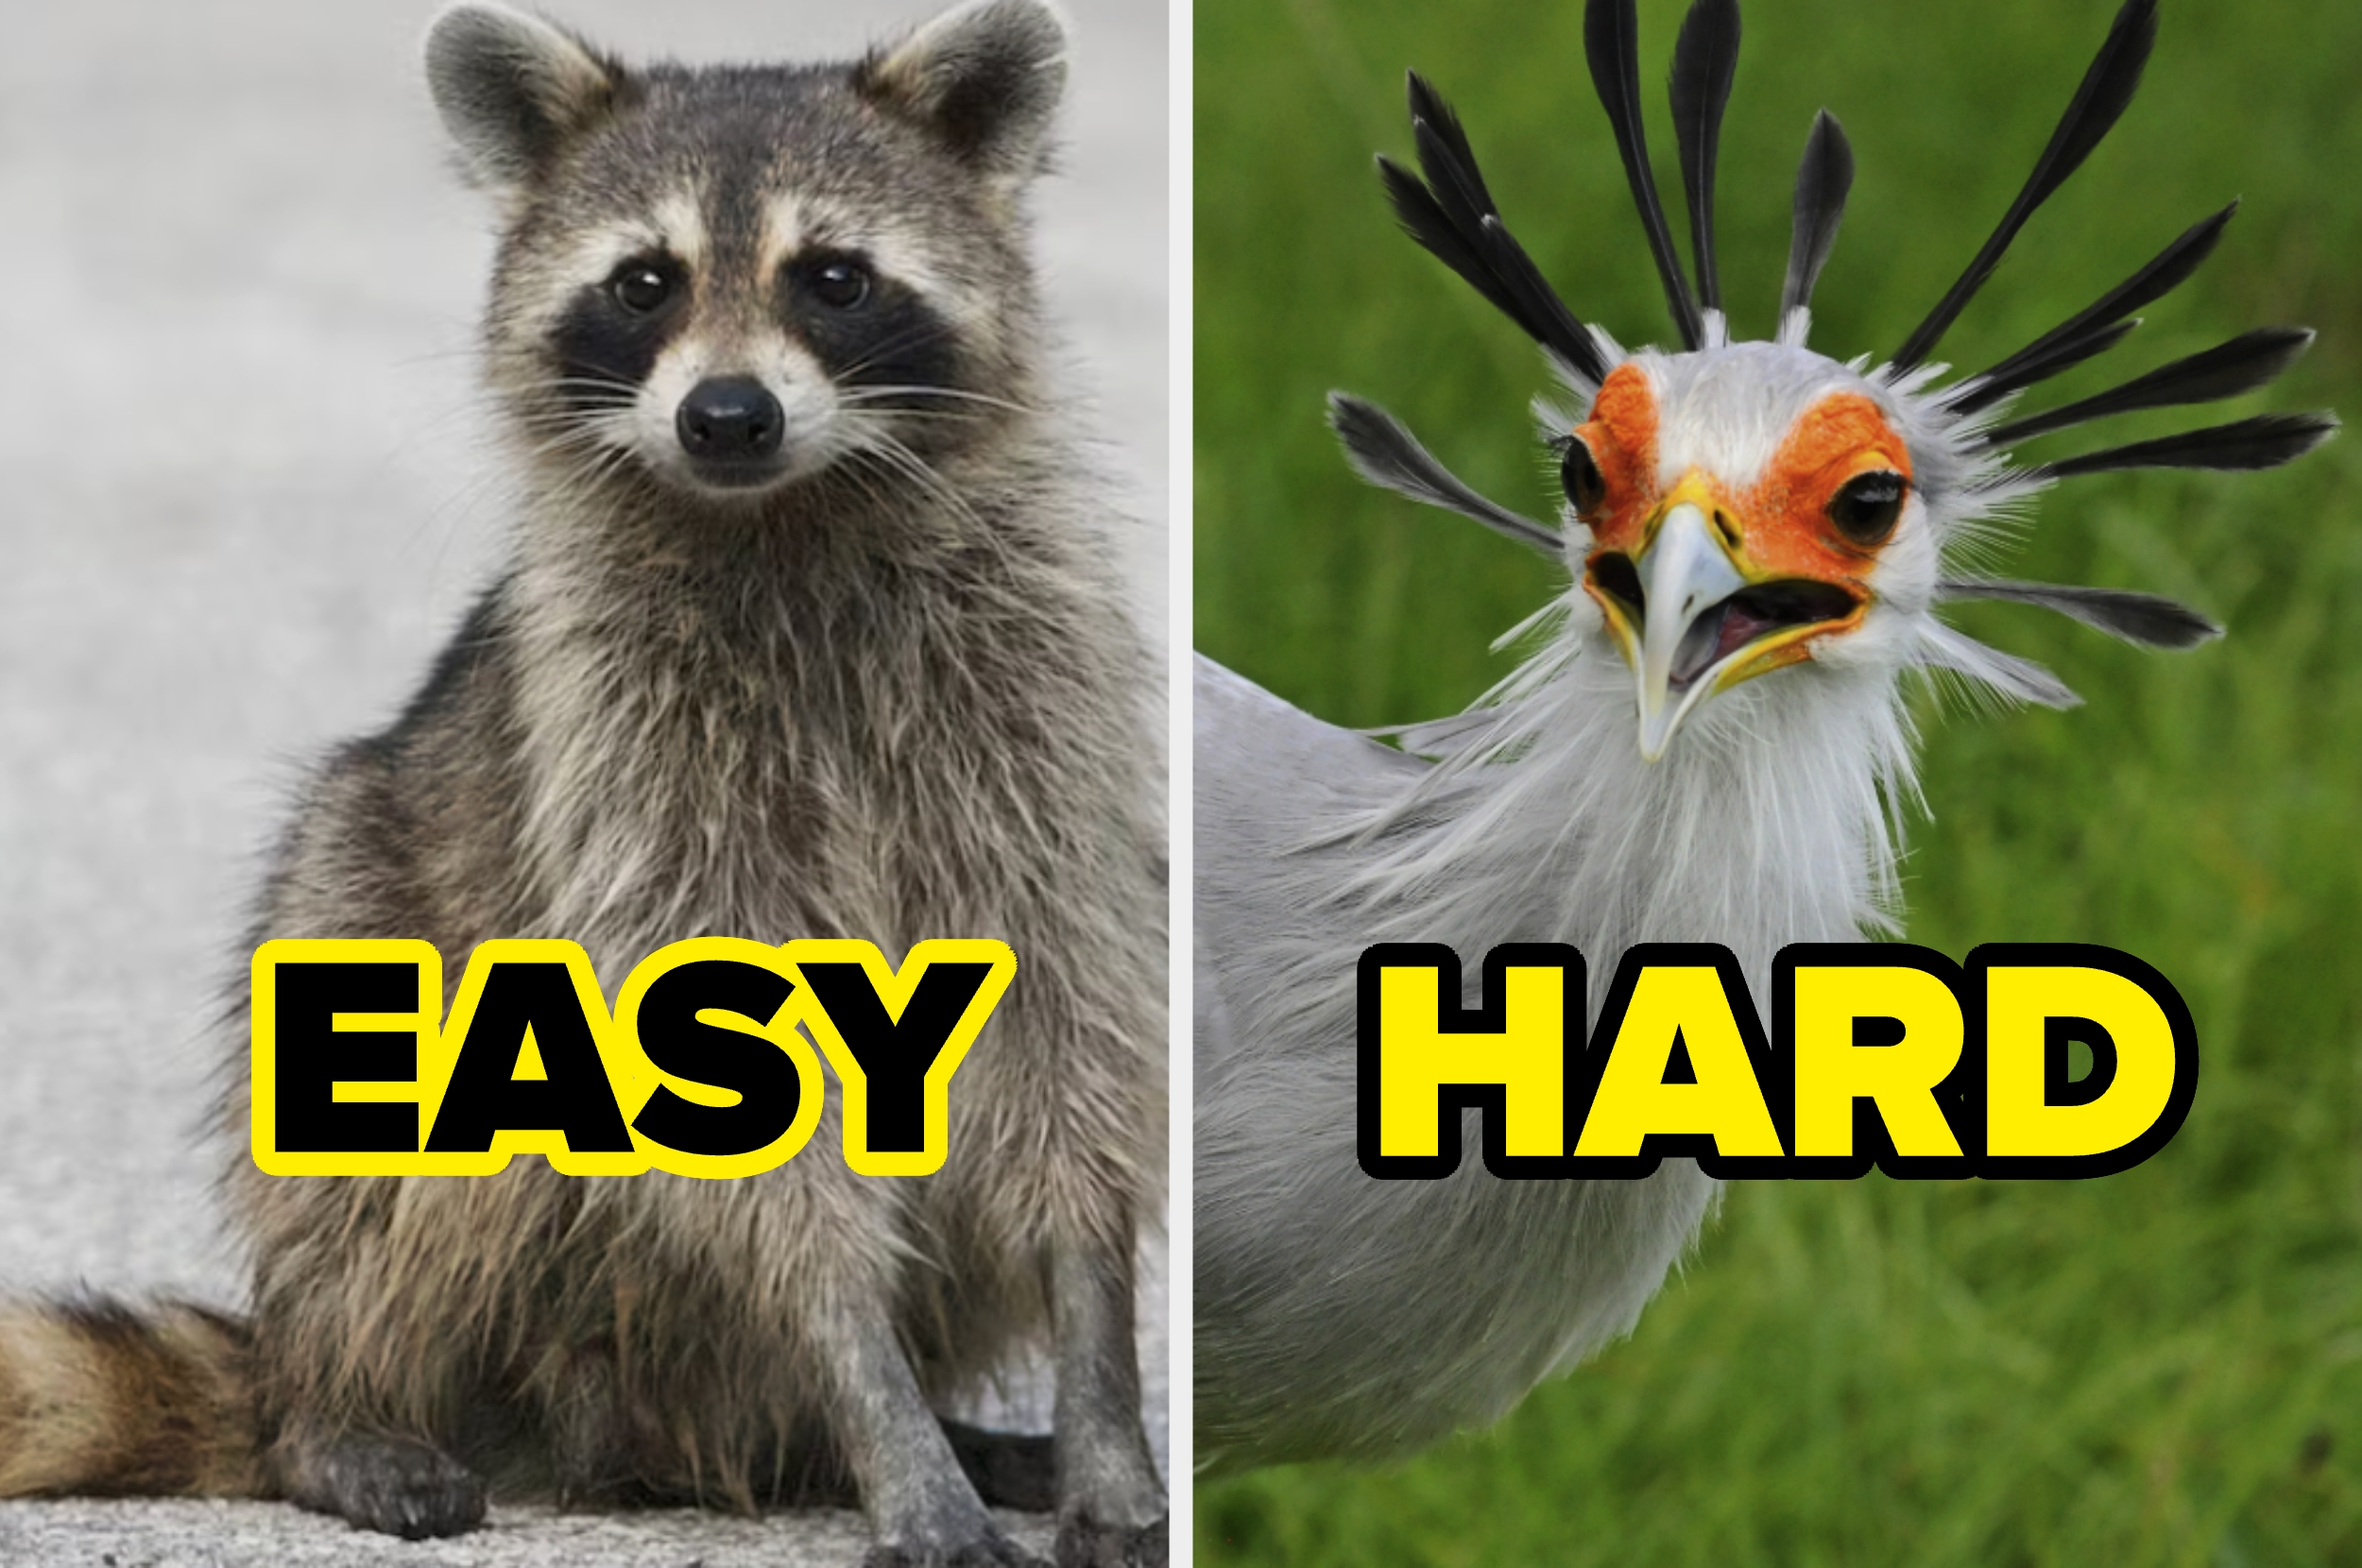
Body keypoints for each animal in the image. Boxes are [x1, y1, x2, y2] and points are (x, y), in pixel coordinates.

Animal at [0, 3, 1167, 1566]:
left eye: (834, 277)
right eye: (643, 283)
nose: (727, 416)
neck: (783, 515)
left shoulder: (1035, 714)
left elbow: (1066, 1026)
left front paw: (1097, 1383)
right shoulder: (629, 757)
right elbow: (736, 1075)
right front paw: (874, 1393)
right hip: (366, 890)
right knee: (389, 1142)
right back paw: (349, 1409)